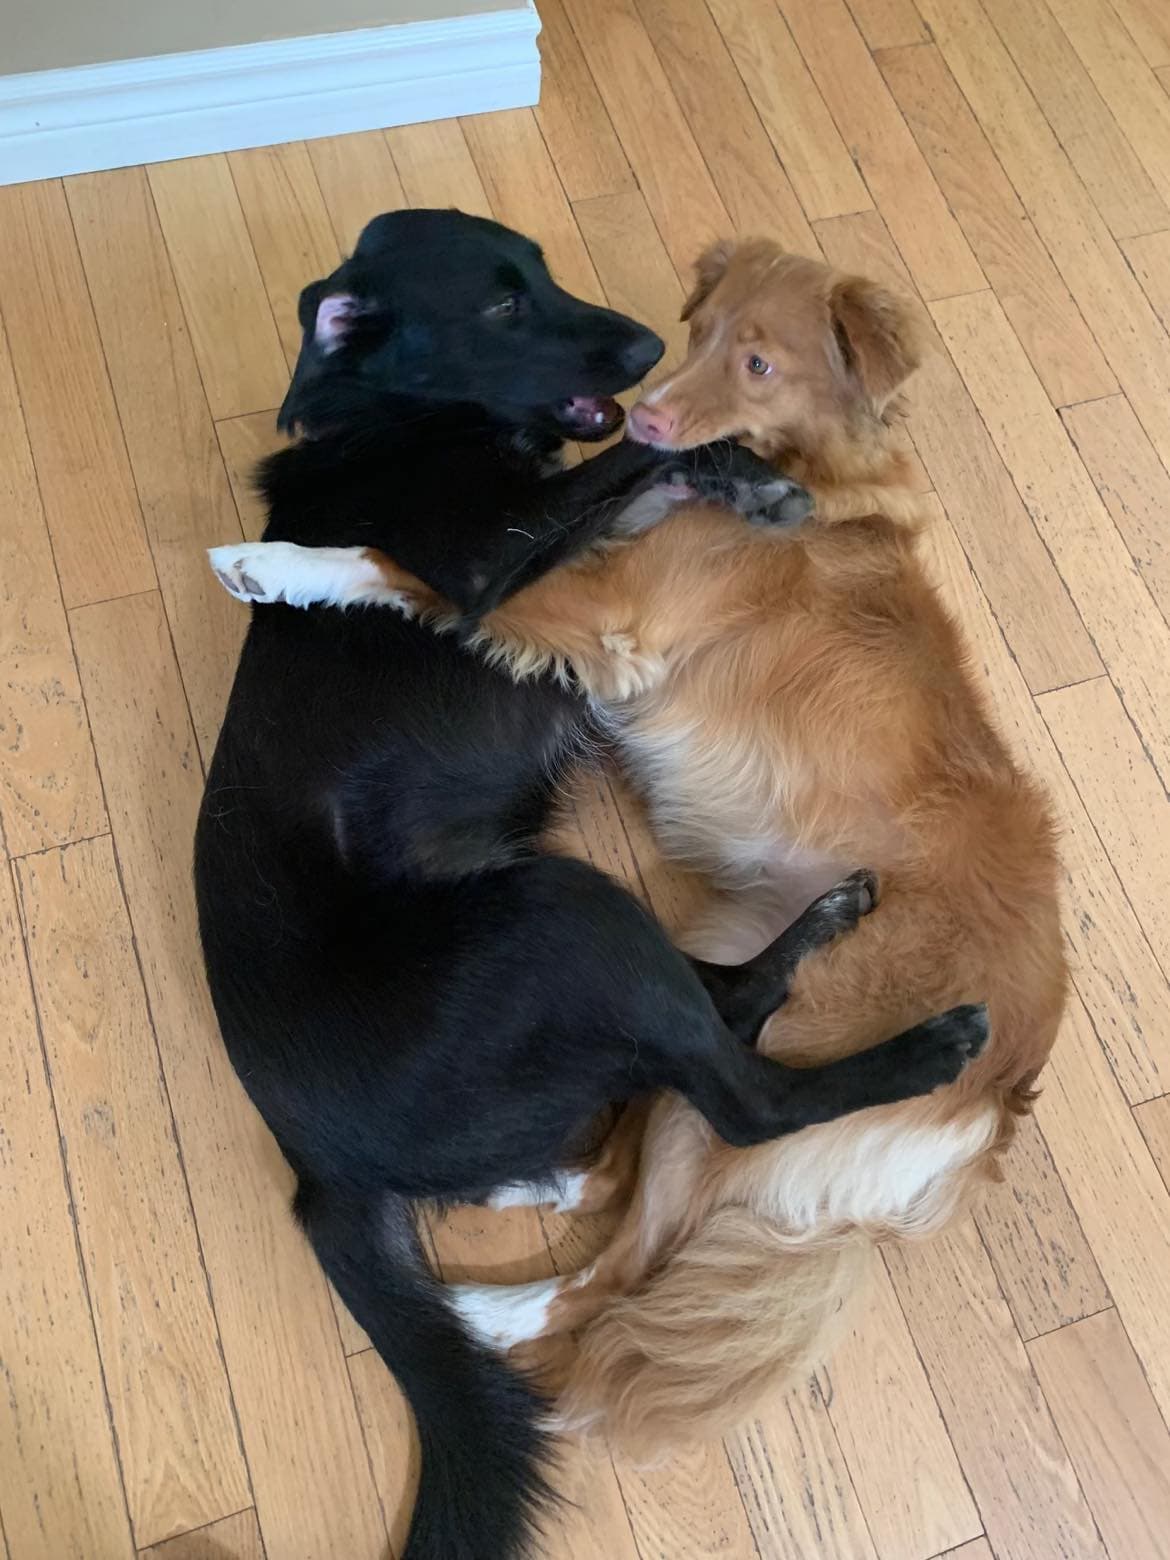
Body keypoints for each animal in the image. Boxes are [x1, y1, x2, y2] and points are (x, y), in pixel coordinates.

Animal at [195, 213, 992, 1560]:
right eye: (502, 306)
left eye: (542, 267)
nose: (641, 349)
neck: (399, 424)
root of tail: (312, 1162)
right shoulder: (485, 567)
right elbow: (598, 478)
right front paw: (282, 564)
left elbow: (651, 468)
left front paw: (751, 479)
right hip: (566, 914)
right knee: (746, 1097)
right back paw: (926, 1041)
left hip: (582, 934)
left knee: (712, 1026)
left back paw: (813, 936)